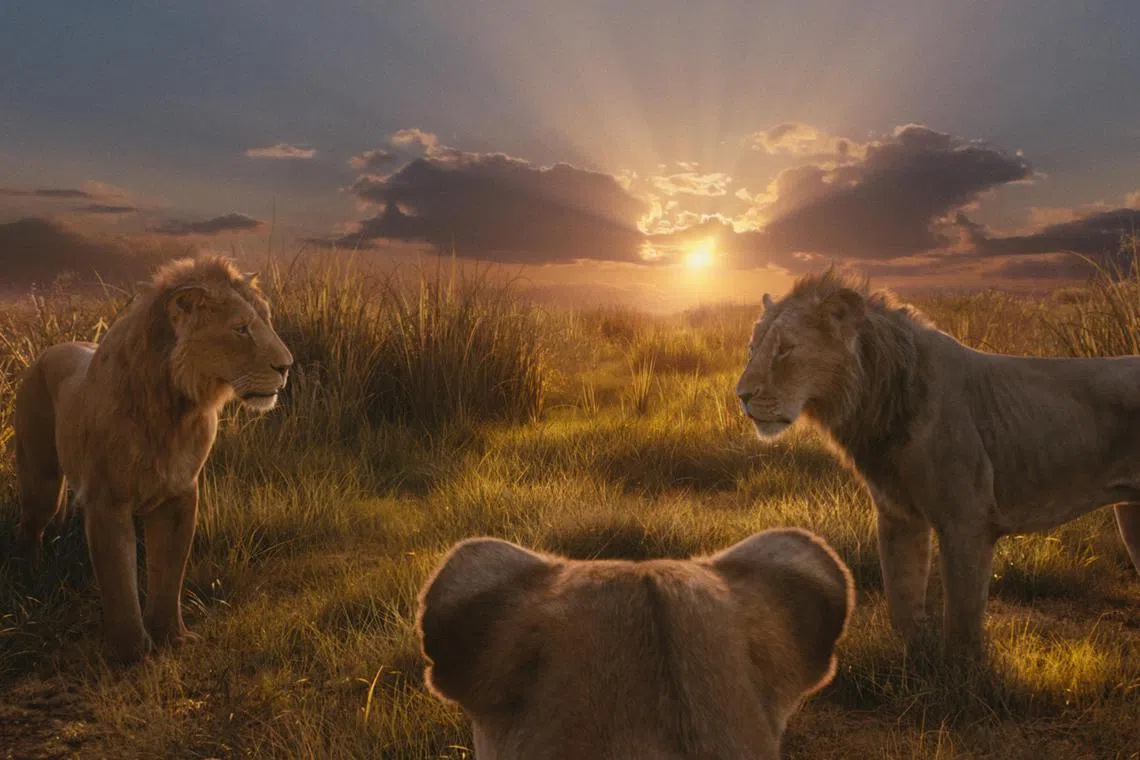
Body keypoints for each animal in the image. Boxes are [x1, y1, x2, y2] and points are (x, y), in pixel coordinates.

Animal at [13, 255, 293, 663]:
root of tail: (49, 350)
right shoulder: (107, 501)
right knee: (30, 527)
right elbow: (119, 579)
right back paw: (30, 581)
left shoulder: (180, 495)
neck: (174, 409)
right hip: (41, 480)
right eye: (241, 329)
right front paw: (130, 650)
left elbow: (168, 571)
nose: (287, 366)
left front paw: (171, 637)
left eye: (267, 320)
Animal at [735, 269, 1140, 658]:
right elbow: (902, 599)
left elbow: (962, 621)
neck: (876, 399)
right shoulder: (898, 515)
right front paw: (916, 658)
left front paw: (963, 674)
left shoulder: (967, 520)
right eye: (753, 348)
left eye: (785, 350)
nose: (741, 395)